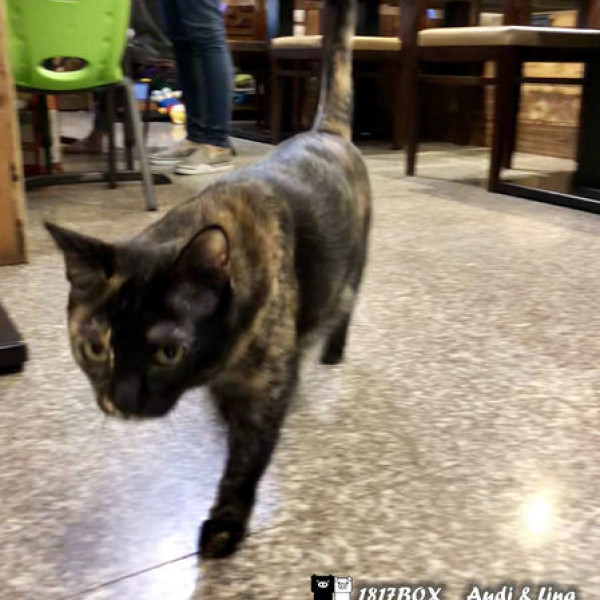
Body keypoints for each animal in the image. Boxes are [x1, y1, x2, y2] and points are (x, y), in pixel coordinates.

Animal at [46, 0, 370, 559]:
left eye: (167, 351)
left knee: (346, 304)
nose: (122, 401)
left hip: (358, 264)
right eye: (94, 348)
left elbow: (245, 460)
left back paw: (331, 350)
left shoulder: (264, 391)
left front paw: (225, 523)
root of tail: (328, 131)